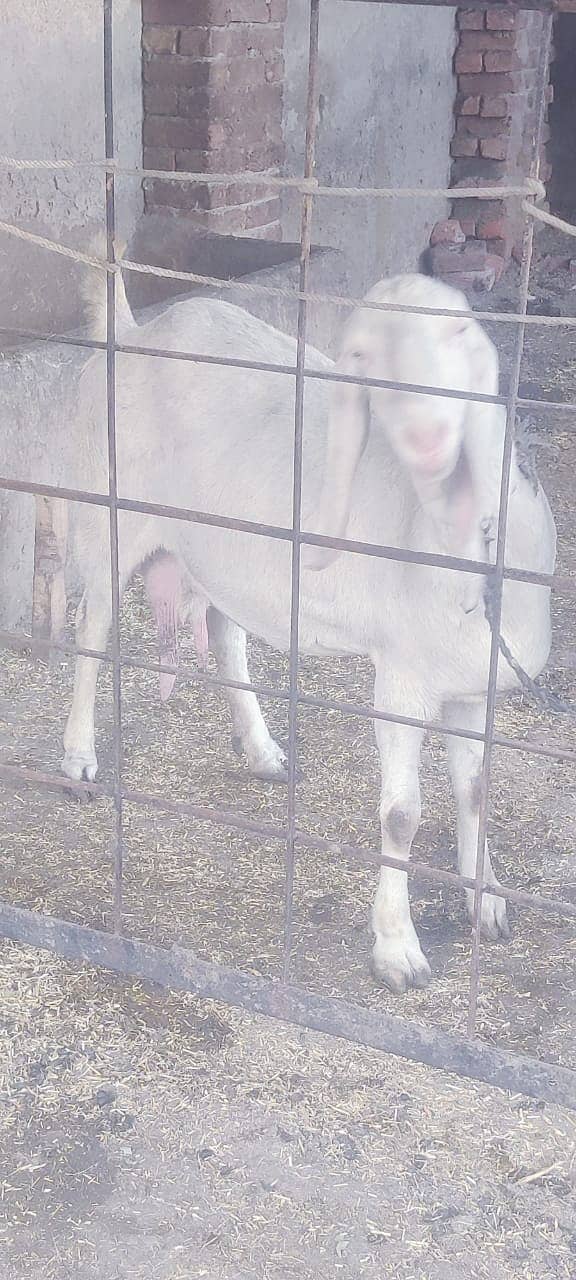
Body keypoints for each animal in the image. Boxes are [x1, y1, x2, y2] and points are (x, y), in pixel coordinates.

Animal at [64, 267, 558, 988]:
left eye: (458, 334)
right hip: (109, 512)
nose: (428, 441)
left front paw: (486, 898)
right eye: (367, 357)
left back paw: (263, 751)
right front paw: (397, 948)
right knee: (91, 631)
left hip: (228, 552)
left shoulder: (473, 684)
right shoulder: (403, 678)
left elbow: (474, 788)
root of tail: (134, 330)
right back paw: (77, 756)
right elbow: (402, 815)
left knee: (227, 636)